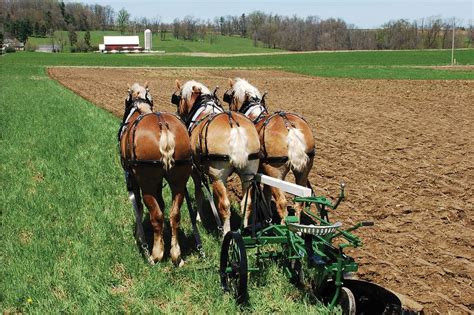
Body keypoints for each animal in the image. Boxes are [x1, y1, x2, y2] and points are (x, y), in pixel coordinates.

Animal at [119, 82, 192, 266]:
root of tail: (163, 126)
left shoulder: (134, 178)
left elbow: (138, 206)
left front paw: (139, 236)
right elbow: (162, 204)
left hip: (147, 183)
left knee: (156, 216)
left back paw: (156, 254)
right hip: (179, 182)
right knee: (175, 215)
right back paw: (176, 254)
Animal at [171, 80, 260, 236]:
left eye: (180, 98)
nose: (178, 113)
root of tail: (234, 126)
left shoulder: (196, 172)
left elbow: (200, 195)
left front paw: (199, 218)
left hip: (218, 176)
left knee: (224, 205)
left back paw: (225, 233)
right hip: (248, 175)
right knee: (246, 203)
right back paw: (244, 230)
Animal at [225, 78, 316, 223]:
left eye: (231, 97)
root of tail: (290, 128)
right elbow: (267, 194)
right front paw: (267, 216)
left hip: (275, 172)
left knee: (282, 203)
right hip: (303, 171)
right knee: (299, 203)